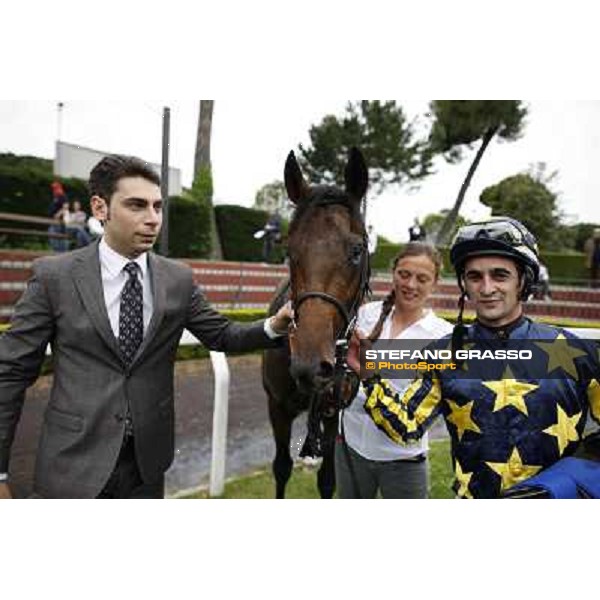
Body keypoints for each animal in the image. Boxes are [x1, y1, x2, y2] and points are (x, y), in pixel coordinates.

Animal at [262, 148, 370, 500]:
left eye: (356, 250)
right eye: (289, 249)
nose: (310, 365)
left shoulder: (333, 410)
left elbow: (328, 479)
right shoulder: (277, 406)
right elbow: (281, 468)